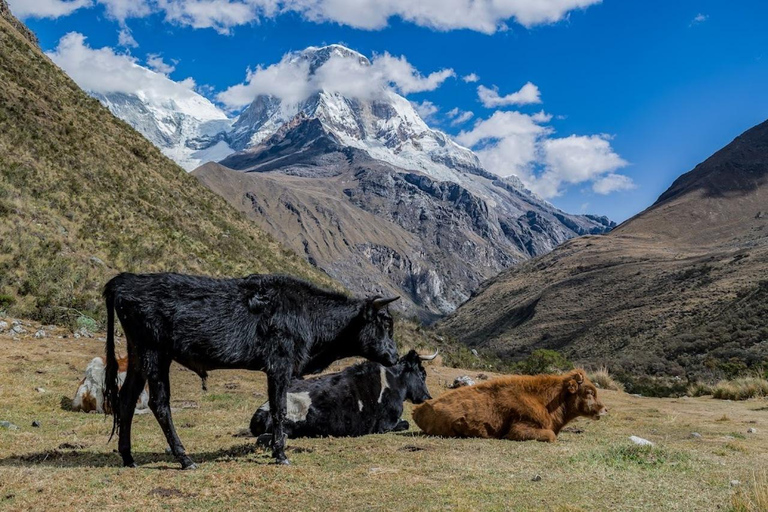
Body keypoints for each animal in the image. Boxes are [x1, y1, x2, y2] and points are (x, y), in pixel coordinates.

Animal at [103, 272, 402, 468]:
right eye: (385, 322)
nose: (395, 356)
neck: (307, 312)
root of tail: (125, 280)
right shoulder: (280, 365)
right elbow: (279, 409)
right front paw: (280, 454)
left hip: (138, 354)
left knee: (127, 399)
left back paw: (128, 457)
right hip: (154, 353)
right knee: (159, 403)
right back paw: (184, 458)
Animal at [249, 350, 436, 438]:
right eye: (422, 373)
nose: (428, 397)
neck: (394, 381)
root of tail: (261, 413)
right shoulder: (386, 424)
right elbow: (406, 424)